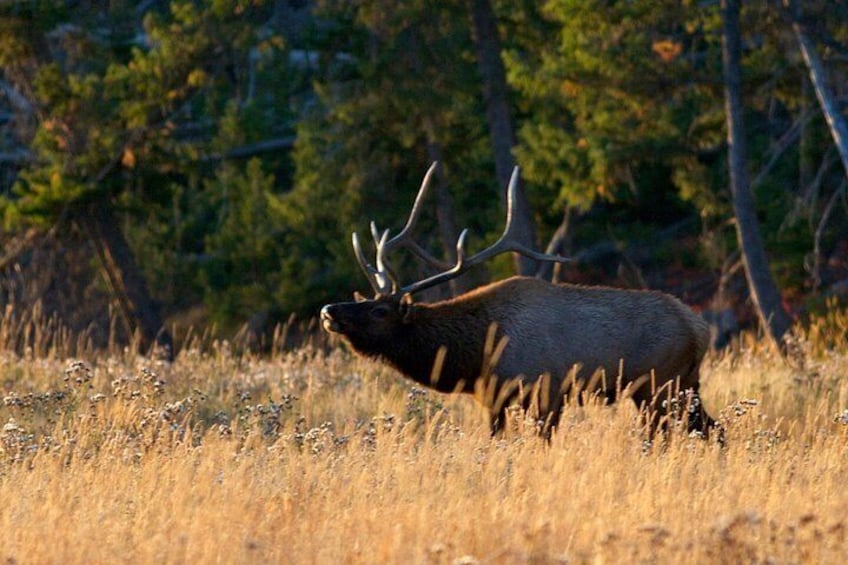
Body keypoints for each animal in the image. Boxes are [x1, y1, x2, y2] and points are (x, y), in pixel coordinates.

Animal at [320, 163, 716, 439]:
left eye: (379, 310)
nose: (328, 310)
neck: (477, 353)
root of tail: (701, 329)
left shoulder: (544, 392)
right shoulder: (493, 399)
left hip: (659, 385)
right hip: (684, 385)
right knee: (714, 429)